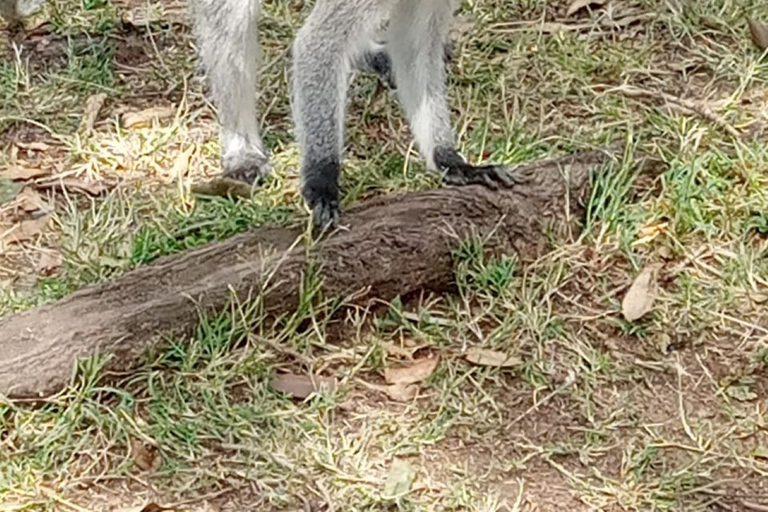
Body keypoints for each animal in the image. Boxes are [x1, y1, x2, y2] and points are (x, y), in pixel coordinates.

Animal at [195, 0, 512, 226]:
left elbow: (415, 47)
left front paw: (450, 160)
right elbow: (318, 42)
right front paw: (322, 182)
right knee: (232, 18)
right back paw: (241, 148)